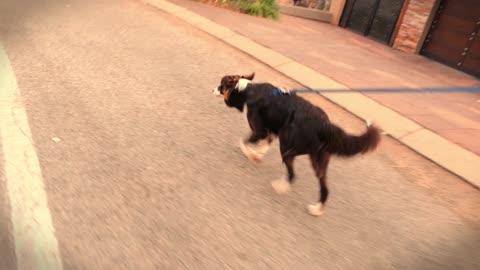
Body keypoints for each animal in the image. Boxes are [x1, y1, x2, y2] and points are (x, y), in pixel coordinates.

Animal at [212, 73, 380, 216]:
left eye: (221, 85)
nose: (212, 89)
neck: (247, 91)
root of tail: (324, 125)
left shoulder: (260, 131)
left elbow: (243, 141)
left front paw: (252, 155)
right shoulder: (273, 131)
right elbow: (264, 144)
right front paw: (258, 154)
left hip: (287, 148)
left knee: (292, 174)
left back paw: (280, 187)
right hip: (318, 159)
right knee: (325, 187)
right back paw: (316, 210)